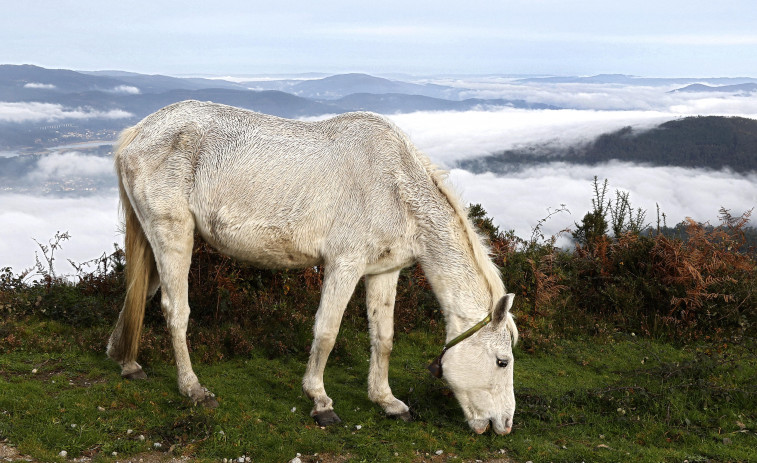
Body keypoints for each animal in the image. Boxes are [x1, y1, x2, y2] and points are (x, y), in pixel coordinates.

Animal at [106, 100, 516, 436]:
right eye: (502, 361)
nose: (504, 425)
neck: (394, 186)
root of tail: (138, 133)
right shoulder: (344, 265)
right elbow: (327, 333)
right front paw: (320, 402)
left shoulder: (383, 273)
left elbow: (383, 338)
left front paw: (387, 401)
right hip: (173, 235)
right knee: (175, 310)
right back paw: (193, 389)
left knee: (138, 295)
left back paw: (126, 363)